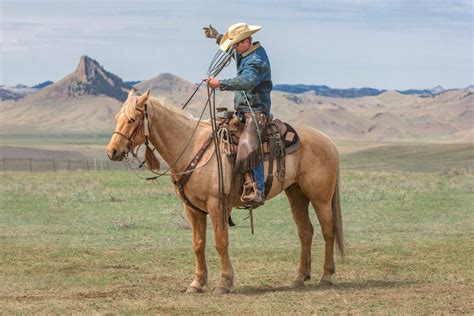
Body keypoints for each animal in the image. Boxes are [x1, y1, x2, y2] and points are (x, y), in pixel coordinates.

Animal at [107, 89, 344, 294]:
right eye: (117, 117)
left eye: (131, 119)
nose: (112, 152)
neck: (192, 147)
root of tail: (330, 142)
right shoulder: (192, 208)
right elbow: (198, 244)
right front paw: (197, 283)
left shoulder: (216, 205)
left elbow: (221, 242)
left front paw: (224, 283)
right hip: (296, 194)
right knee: (305, 232)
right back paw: (299, 278)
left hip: (320, 198)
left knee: (328, 231)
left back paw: (326, 276)